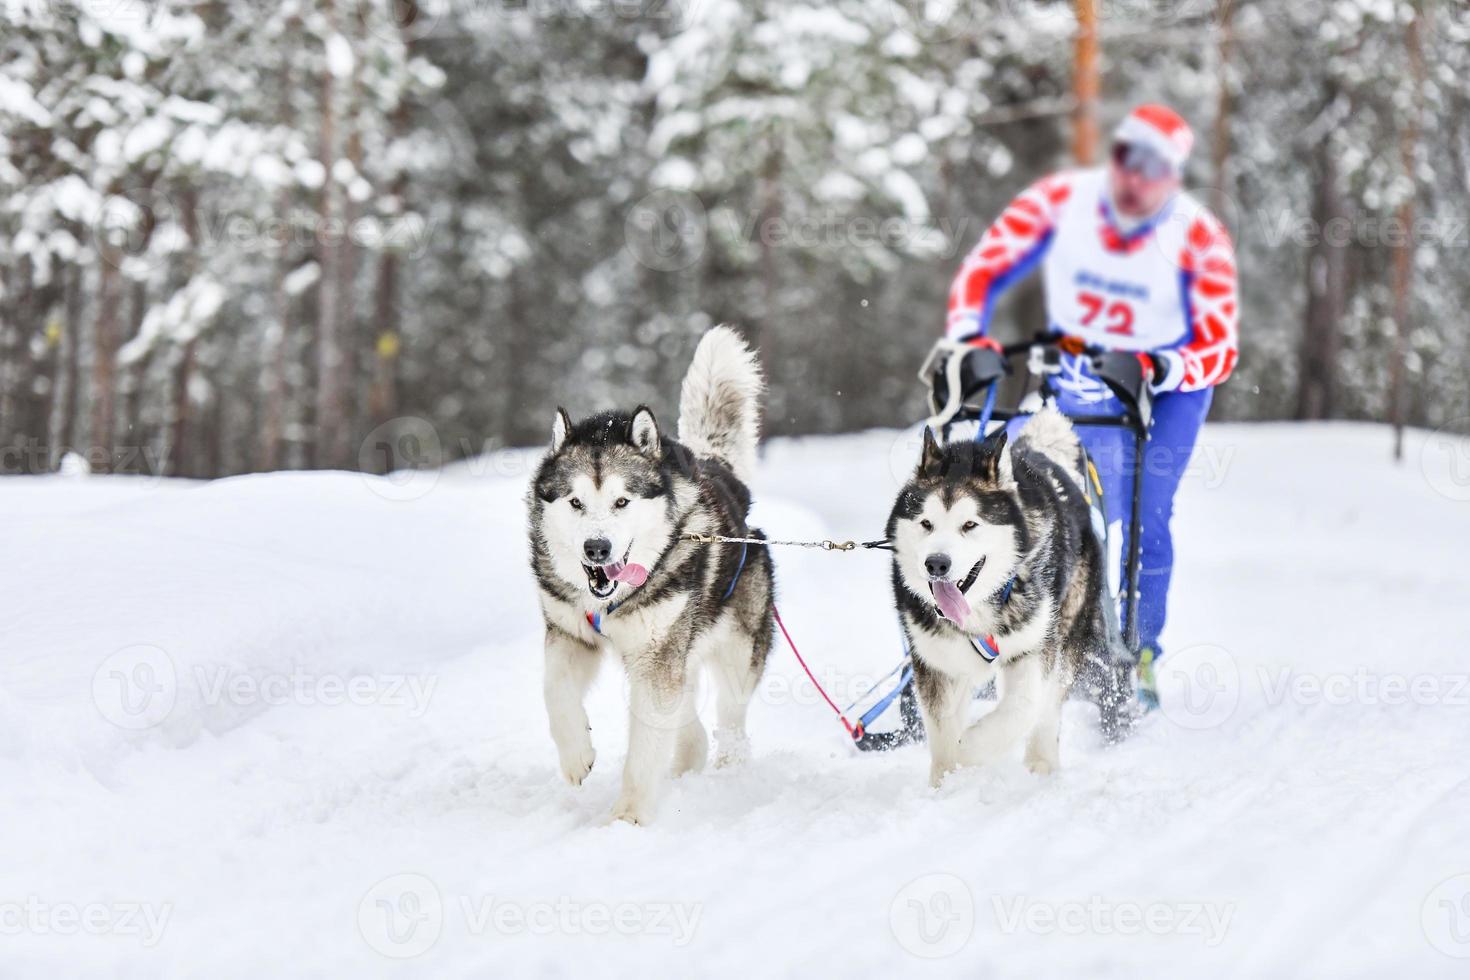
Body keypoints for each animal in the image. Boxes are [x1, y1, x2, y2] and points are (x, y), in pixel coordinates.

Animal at [535, 326, 776, 822]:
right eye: (575, 502)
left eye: (622, 501)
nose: (597, 548)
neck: (609, 601)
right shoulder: (568, 634)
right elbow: (554, 691)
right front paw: (576, 756)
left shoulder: (655, 658)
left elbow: (645, 747)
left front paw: (628, 817)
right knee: (689, 721)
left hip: (735, 648)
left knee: (731, 716)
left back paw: (730, 768)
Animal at [882, 408, 1123, 787]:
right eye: (926, 523)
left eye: (969, 525)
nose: (936, 563)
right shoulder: (937, 662)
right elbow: (941, 726)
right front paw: (945, 783)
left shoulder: (1033, 649)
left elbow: (1023, 707)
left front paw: (970, 749)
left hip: (1068, 630)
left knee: (1048, 706)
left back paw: (1041, 762)